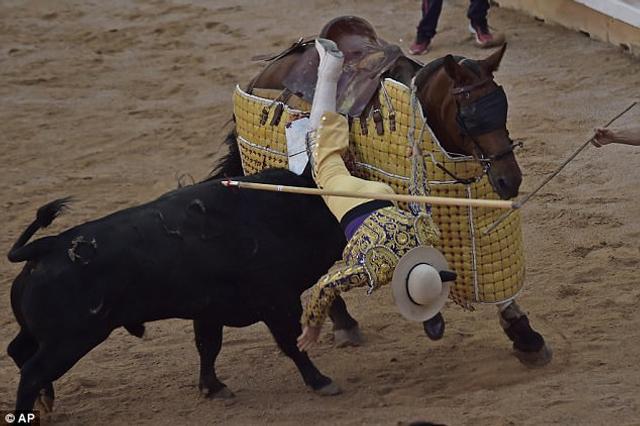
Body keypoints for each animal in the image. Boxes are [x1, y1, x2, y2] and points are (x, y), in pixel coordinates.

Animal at [5, 168, 344, 412]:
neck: (285, 213)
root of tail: (47, 246)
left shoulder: (210, 310)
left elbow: (208, 347)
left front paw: (213, 388)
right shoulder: (276, 301)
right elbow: (292, 343)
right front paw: (321, 381)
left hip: (46, 336)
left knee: (18, 351)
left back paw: (45, 401)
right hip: (70, 341)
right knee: (32, 372)